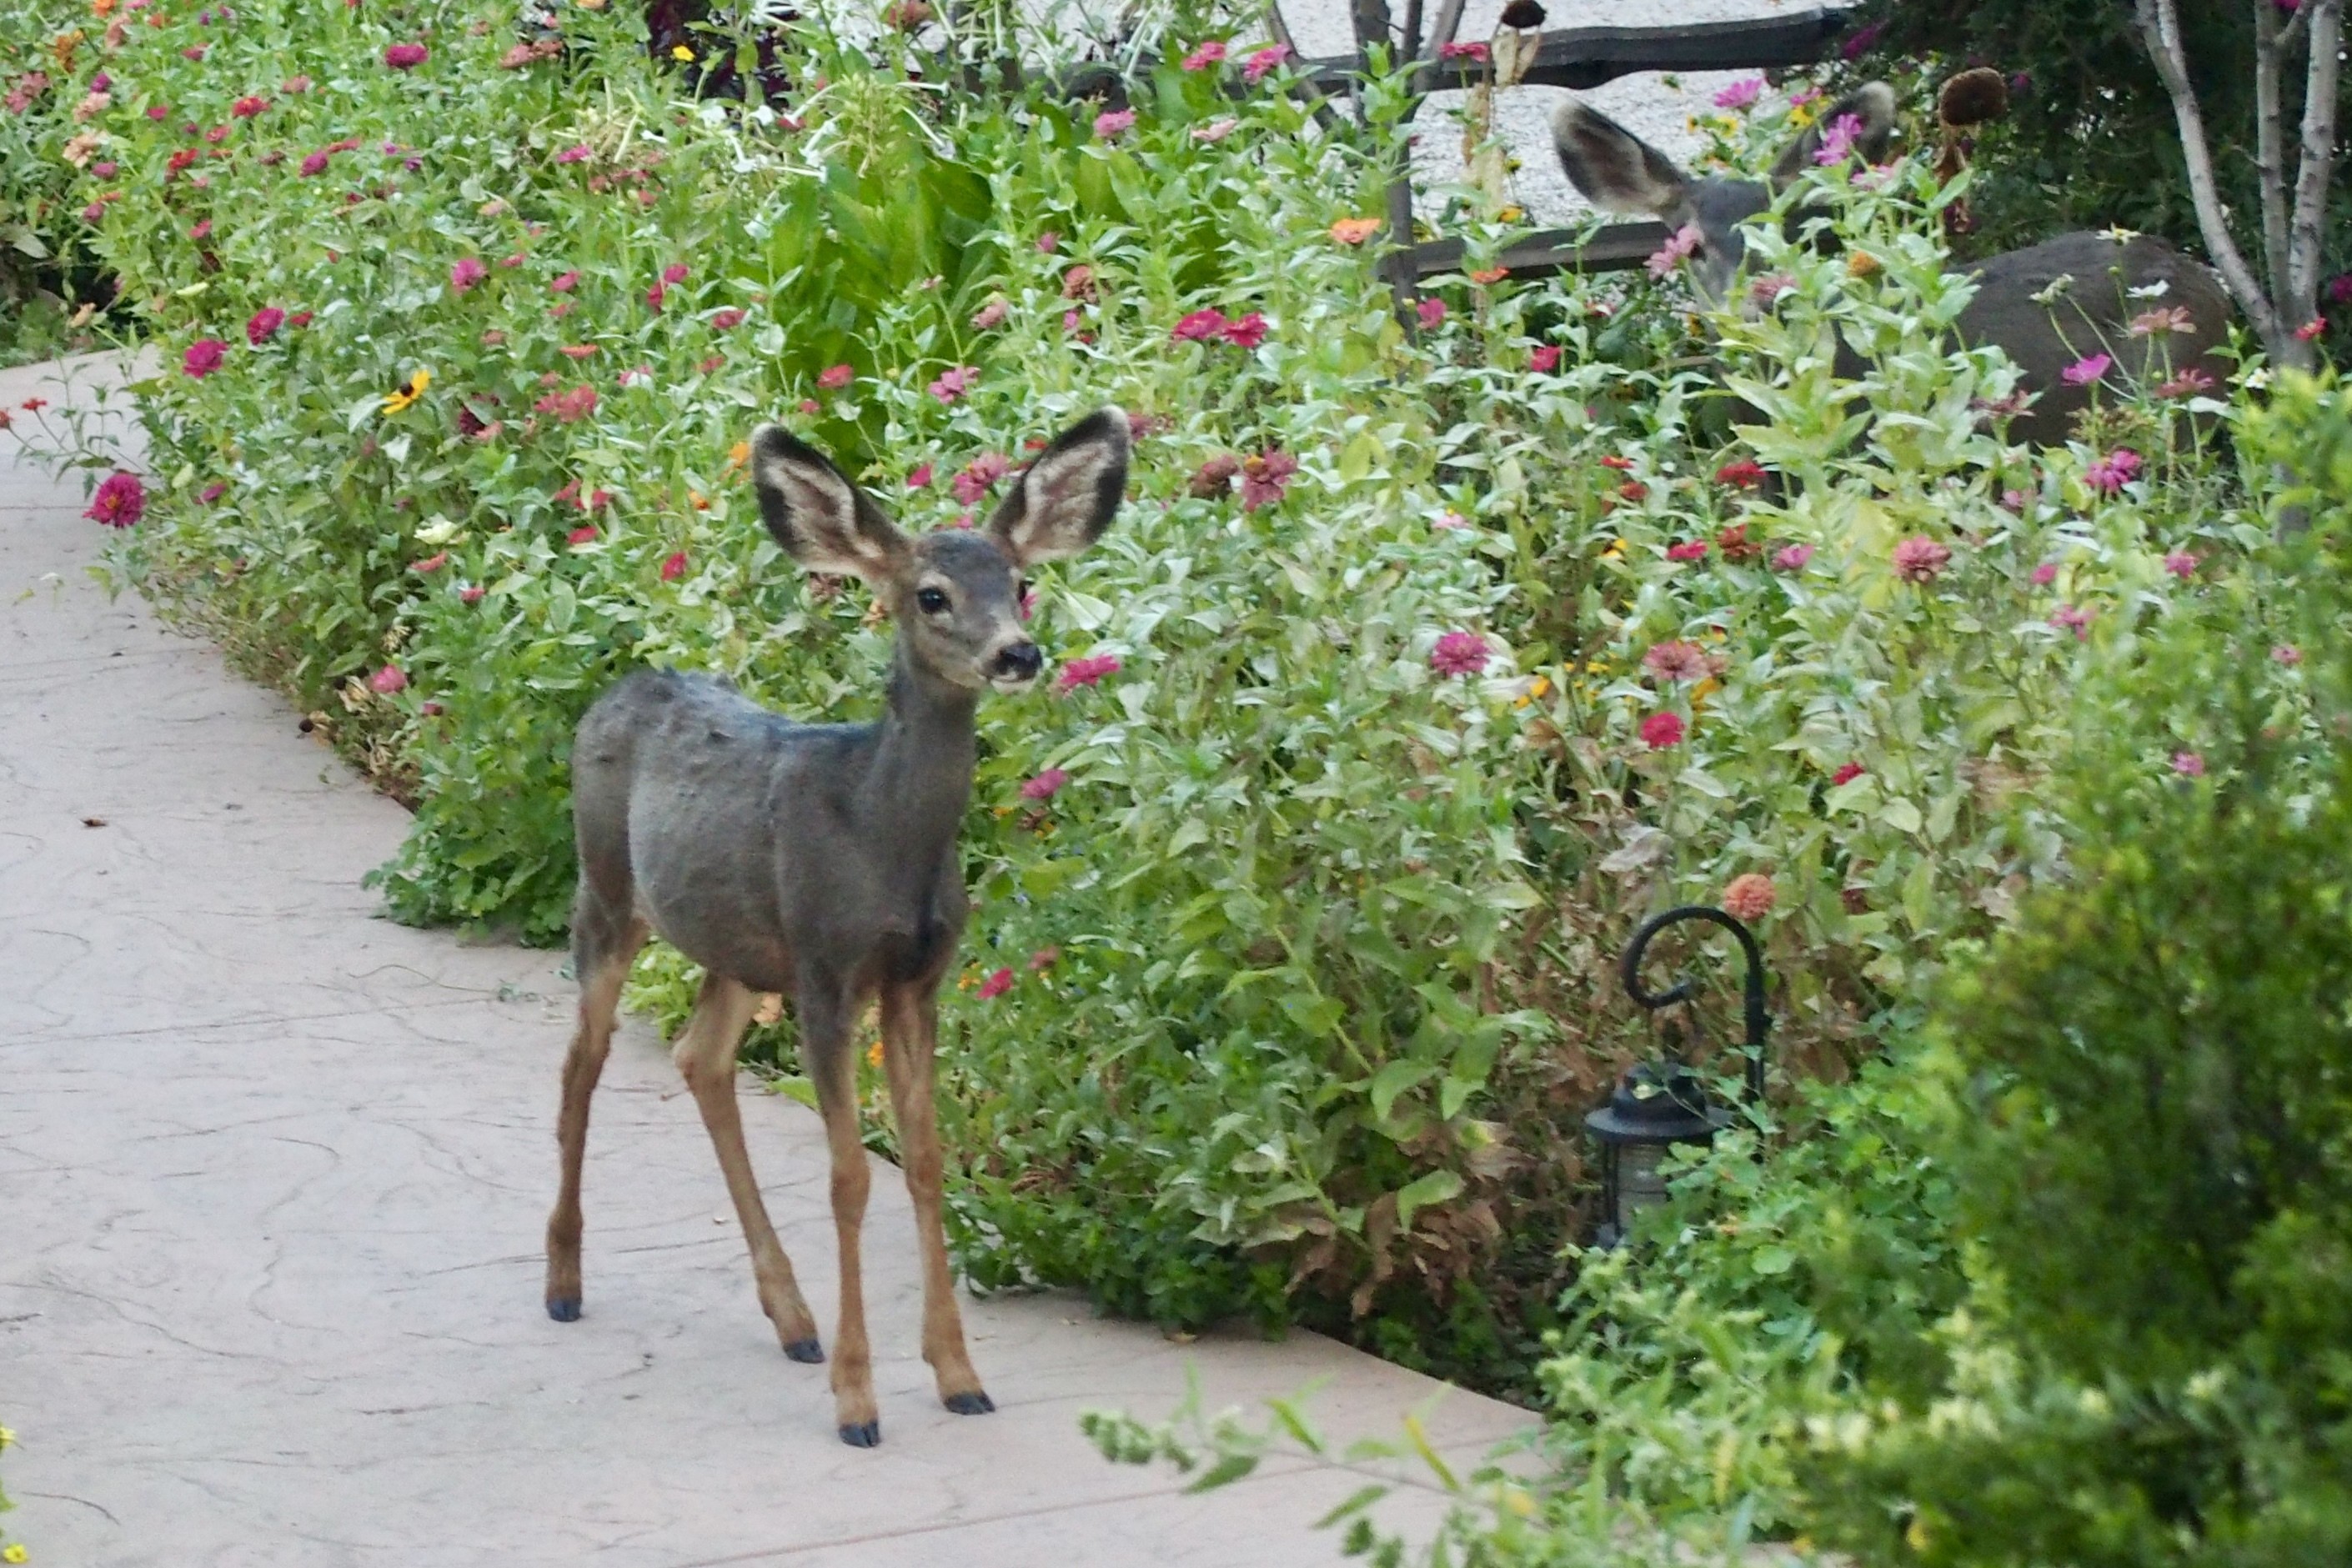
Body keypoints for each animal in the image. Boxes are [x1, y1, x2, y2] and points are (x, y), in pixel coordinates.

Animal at [542, 407, 1130, 1448]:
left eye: (1020, 582)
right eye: (932, 594)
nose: (1017, 654)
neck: (881, 834)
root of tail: (619, 687)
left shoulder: (917, 979)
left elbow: (925, 1164)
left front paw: (959, 1376)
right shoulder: (826, 968)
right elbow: (850, 1176)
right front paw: (860, 1403)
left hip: (739, 947)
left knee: (700, 1057)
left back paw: (793, 1319)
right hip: (607, 889)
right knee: (582, 1062)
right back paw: (565, 1284)